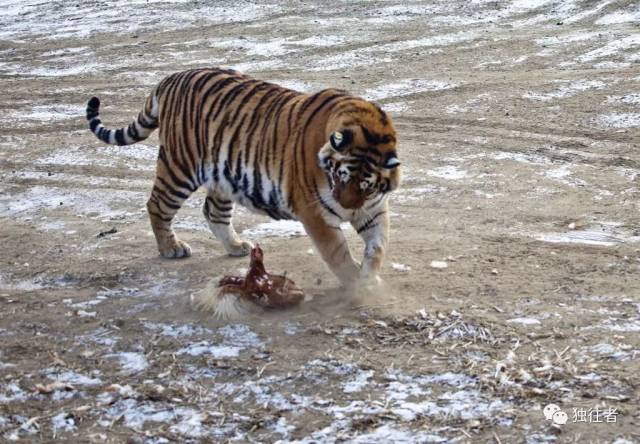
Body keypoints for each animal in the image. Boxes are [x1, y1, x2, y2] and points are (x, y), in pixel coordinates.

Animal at [86, 67, 400, 286]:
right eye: (340, 177)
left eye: (366, 186)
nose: (346, 210)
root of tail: (170, 78)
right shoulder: (316, 214)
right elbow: (338, 252)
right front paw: (356, 285)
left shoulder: (373, 209)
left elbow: (379, 247)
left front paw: (369, 277)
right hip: (179, 167)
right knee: (157, 205)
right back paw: (171, 248)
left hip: (223, 174)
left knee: (213, 212)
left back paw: (236, 246)